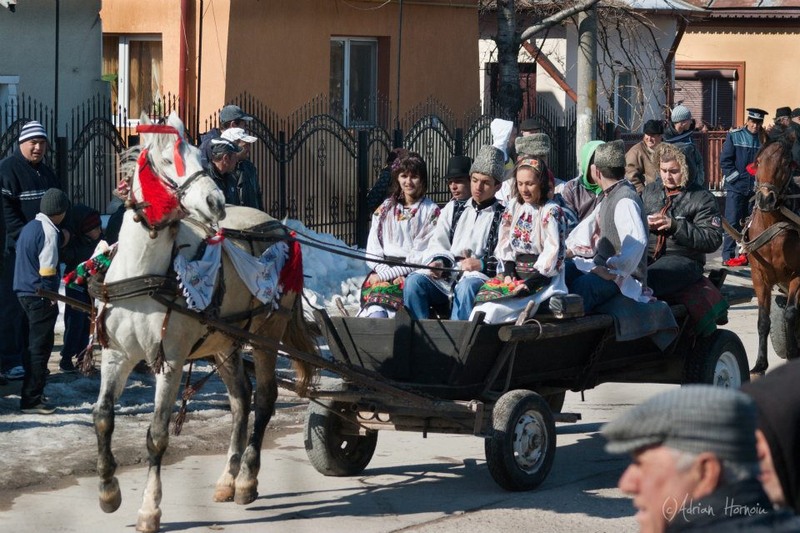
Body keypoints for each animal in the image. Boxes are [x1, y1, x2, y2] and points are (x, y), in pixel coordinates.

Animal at [92, 112, 316, 533]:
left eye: (202, 157)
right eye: (167, 162)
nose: (216, 201)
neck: (145, 271)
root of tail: (280, 229)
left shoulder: (170, 361)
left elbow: (157, 435)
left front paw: (149, 509)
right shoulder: (117, 356)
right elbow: (102, 418)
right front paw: (108, 491)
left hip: (265, 336)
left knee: (264, 400)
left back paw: (246, 480)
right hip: (225, 344)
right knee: (241, 399)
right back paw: (227, 479)